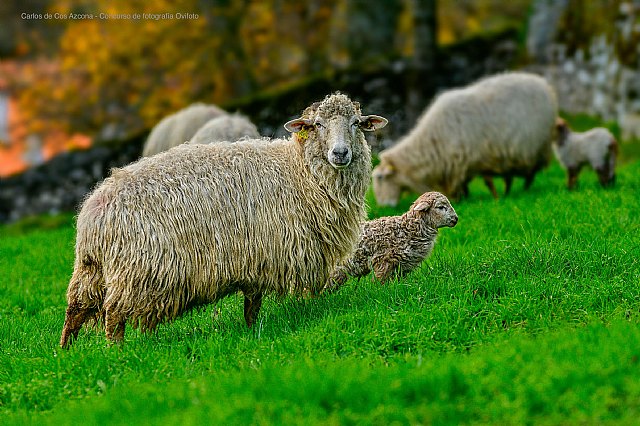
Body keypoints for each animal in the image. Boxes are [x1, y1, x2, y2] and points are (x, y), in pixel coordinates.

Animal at [60, 92, 388, 346]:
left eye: (356, 123)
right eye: (318, 124)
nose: (340, 153)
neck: (299, 173)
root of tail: (93, 212)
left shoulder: (255, 258)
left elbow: (251, 305)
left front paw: (251, 330)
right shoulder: (269, 251)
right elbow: (257, 303)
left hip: (92, 271)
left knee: (75, 309)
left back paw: (67, 353)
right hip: (138, 272)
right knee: (113, 316)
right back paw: (116, 353)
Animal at [328, 191, 458, 288]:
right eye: (440, 207)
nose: (455, 219)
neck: (408, 230)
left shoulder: (403, 267)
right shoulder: (383, 261)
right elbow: (379, 283)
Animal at [372, 72, 556, 206]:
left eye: (381, 178)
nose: (384, 206)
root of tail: (542, 83)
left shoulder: (469, 158)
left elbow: (485, 182)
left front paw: (491, 199)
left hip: (537, 147)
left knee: (531, 173)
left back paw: (523, 190)